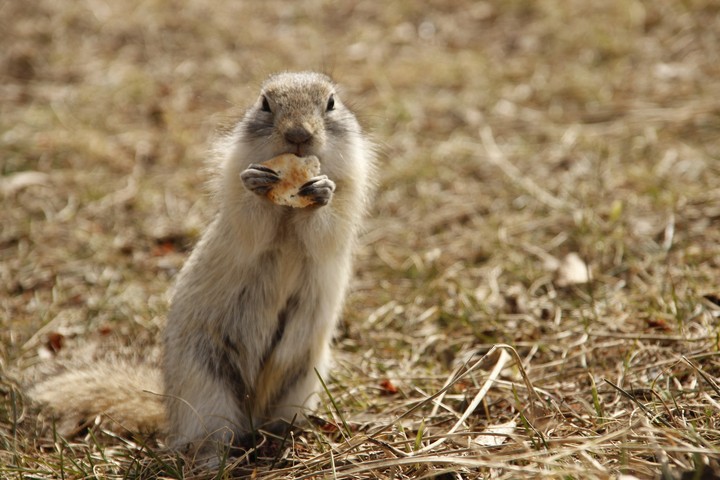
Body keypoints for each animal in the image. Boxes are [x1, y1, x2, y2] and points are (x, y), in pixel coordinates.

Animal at [28, 71, 375, 456]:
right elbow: (251, 221)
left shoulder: (349, 192)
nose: (298, 135)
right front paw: (257, 183)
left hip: (301, 384)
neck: (287, 214)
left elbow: (325, 228)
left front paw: (320, 192)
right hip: (206, 389)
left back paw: (281, 439)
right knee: (210, 435)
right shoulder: (237, 199)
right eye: (264, 104)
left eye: (331, 103)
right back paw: (215, 456)